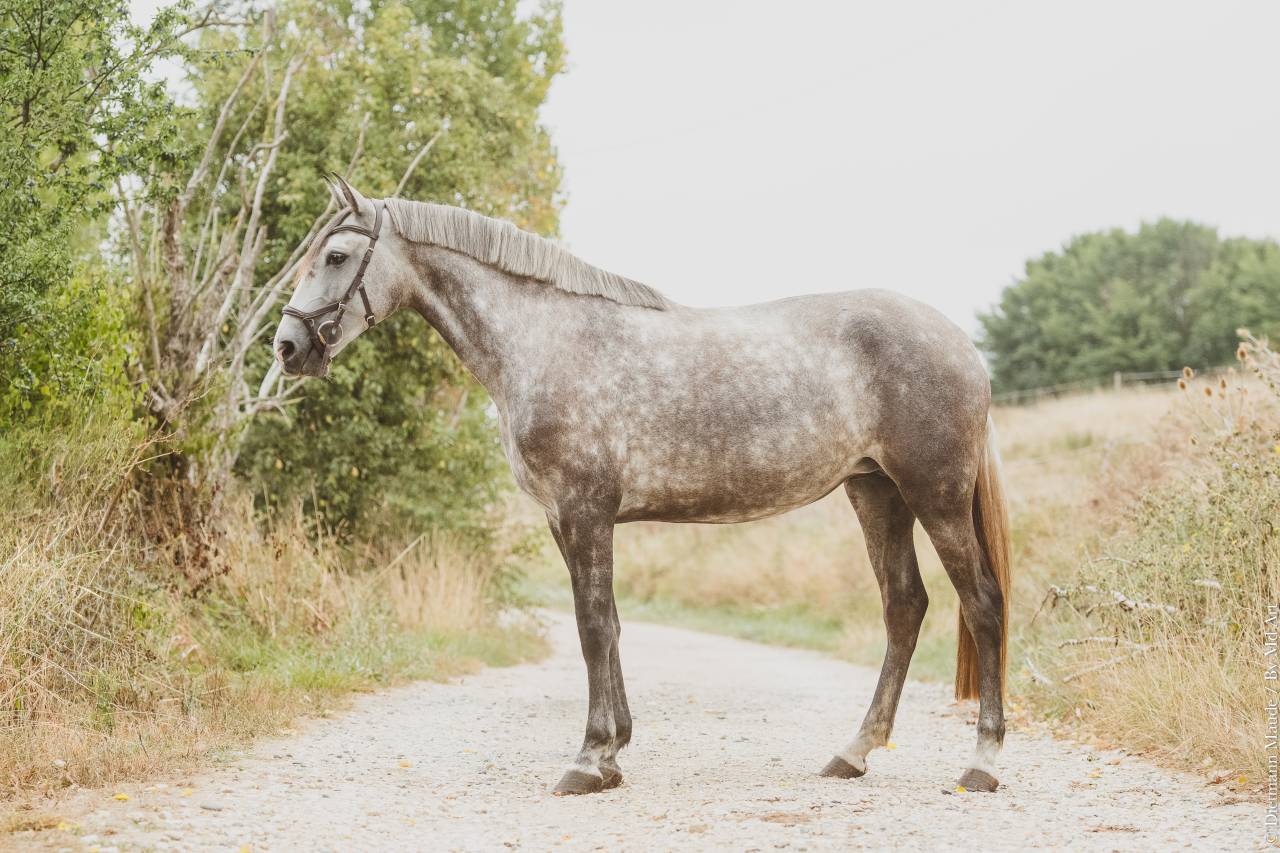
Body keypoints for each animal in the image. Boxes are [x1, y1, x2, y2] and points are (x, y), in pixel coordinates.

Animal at [272, 176, 1012, 796]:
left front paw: (590, 758)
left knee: (981, 603)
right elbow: (610, 622)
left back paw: (981, 762)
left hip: (935, 494)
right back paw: (852, 752)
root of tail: (961, 343)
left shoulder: (585, 511)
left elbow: (593, 625)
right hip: (876, 492)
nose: (287, 348)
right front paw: (615, 749)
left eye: (336, 255)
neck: (545, 340)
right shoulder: (562, 518)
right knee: (904, 606)